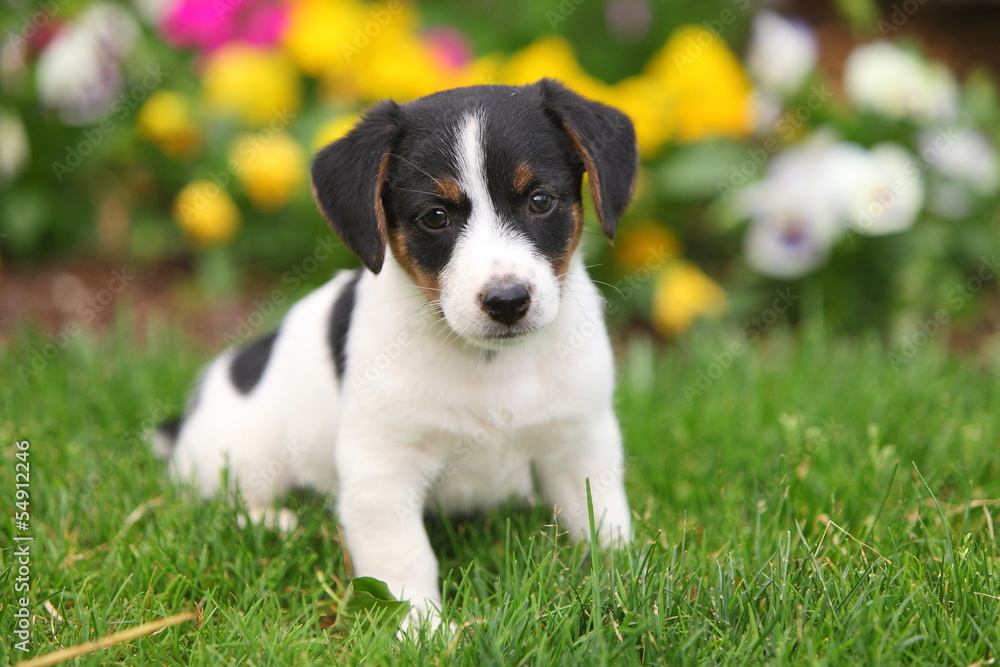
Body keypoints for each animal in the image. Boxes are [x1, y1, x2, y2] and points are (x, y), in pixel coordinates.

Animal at [156, 77, 640, 628]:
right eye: (435, 217)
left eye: (540, 200)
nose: (507, 301)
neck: (487, 367)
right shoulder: (381, 471)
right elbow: (404, 558)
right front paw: (424, 629)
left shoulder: (581, 440)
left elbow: (601, 520)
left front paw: (621, 584)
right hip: (240, 455)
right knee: (225, 502)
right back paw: (276, 521)